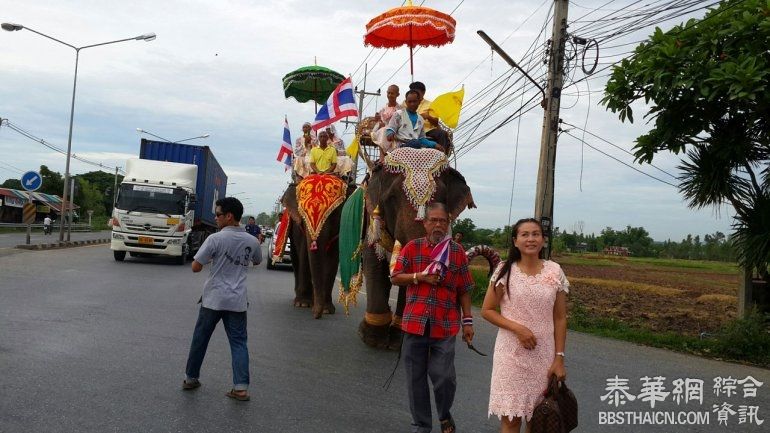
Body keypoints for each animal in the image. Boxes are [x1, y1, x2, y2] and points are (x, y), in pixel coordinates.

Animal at [278, 174, 352, 318]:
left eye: (335, 212)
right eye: (302, 212)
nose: (316, 316)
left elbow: (332, 259)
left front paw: (327, 310)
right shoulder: (300, 226)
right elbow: (305, 255)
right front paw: (303, 304)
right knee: (297, 259)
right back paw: (301, 299)